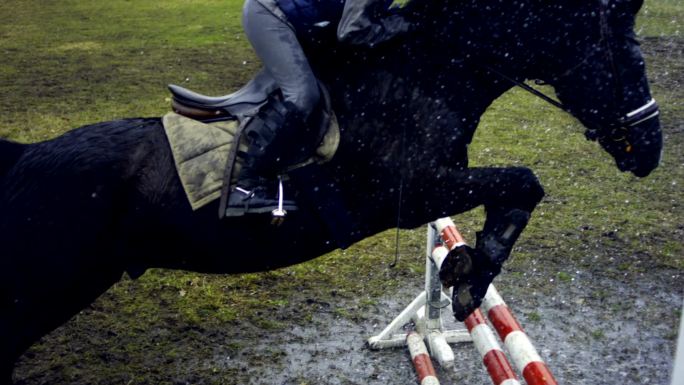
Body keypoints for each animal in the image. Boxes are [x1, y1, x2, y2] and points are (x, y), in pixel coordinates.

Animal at [0, 0, 664, 380]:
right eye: (628, 60)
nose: (653, 151)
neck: (425, 72)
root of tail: (23, 155)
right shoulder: (414, 194)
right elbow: (526, 183)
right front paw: (471, 277)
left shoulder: (434, 190)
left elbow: (520, 188)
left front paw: (463, 268)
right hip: (36, 295)